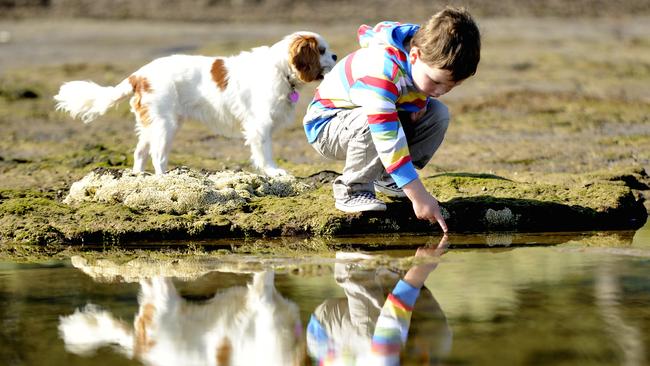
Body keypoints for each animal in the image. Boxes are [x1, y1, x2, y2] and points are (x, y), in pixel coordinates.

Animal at [54, 30, 334, 177]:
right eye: (320, 50)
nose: (335, 55)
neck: (280, 68)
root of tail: (139, 74)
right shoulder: (259, 126)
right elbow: (265, 154)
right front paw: (274, 172)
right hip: (165, 126)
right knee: (157, 156)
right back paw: (163, 180)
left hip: (151, 125)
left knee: (140, 152)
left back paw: (138, 177)